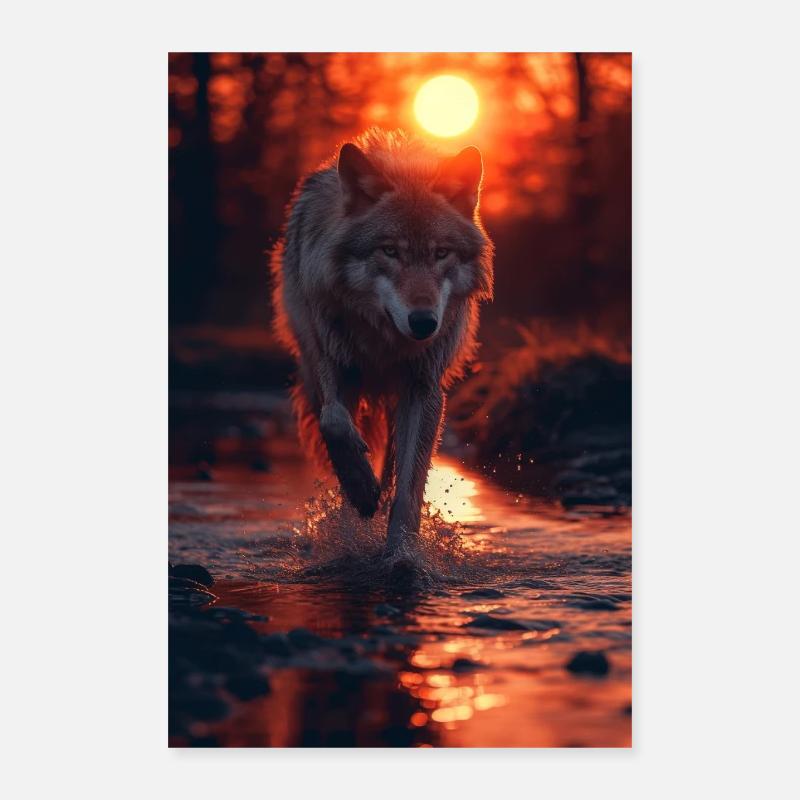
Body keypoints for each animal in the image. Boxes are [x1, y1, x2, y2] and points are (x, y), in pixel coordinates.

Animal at [271, 128, 494, 556]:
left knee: (393, 467)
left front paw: (402, 555)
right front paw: (360, 492)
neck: (384, 344)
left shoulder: (423, 387)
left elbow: (408, 489)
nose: (424, 323)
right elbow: (334, 422)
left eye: (441, 253)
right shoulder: (335, 366)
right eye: (390, 251)